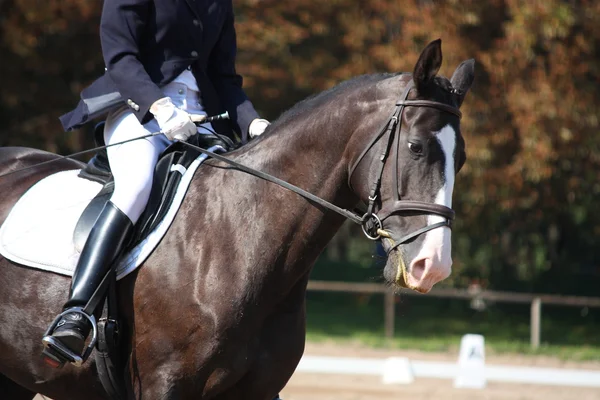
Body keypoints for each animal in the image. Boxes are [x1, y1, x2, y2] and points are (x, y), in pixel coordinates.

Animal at [0, 41, 474, 400]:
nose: (433, 265)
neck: (240, 242)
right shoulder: (163, 386)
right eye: (415, 147)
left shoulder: (259, 391)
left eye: (463, 159)